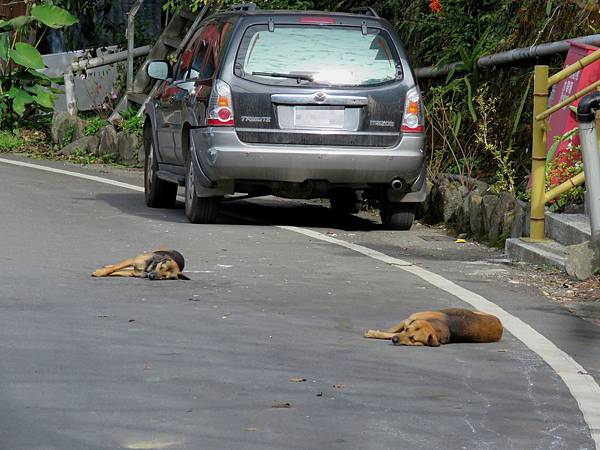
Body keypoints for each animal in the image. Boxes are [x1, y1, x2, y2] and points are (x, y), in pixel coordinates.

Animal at [364, 308, 504, 346]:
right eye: (407, 330)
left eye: (413, 339)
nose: (395, 340)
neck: (433, 325)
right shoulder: (406, 321)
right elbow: (391, 331)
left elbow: (389, 334)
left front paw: (375, 333)